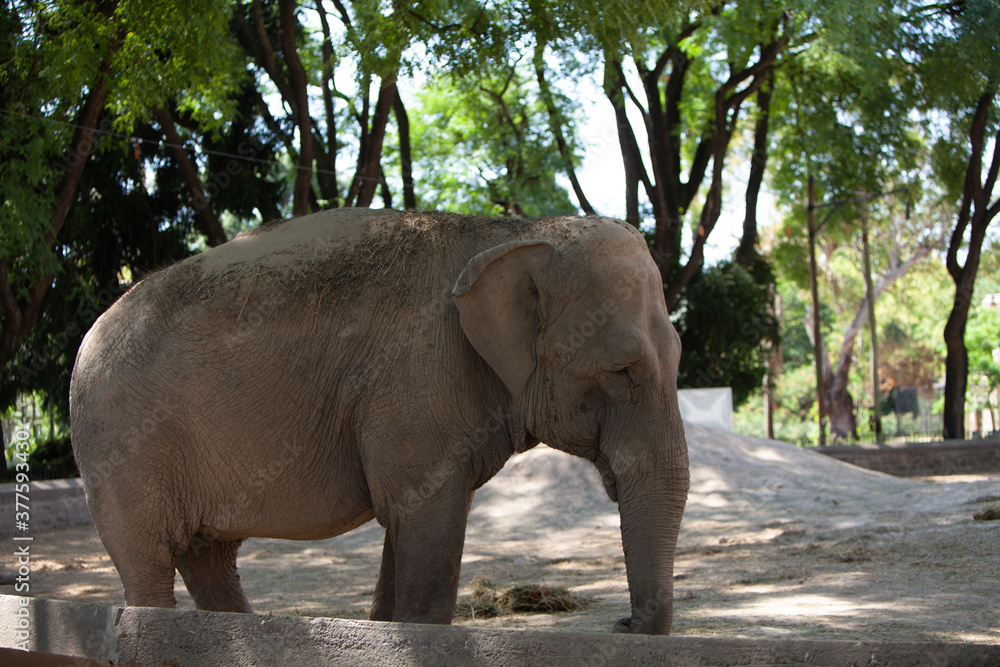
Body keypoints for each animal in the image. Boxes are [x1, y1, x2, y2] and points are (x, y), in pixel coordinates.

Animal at [69, 209, 689, 635]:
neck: (512, 231)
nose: (622, 625)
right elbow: (424, 525)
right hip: (119, 447)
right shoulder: (415, 384)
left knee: (209, 559)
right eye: (622, 371)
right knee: (148, 564)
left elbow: (409, 522)